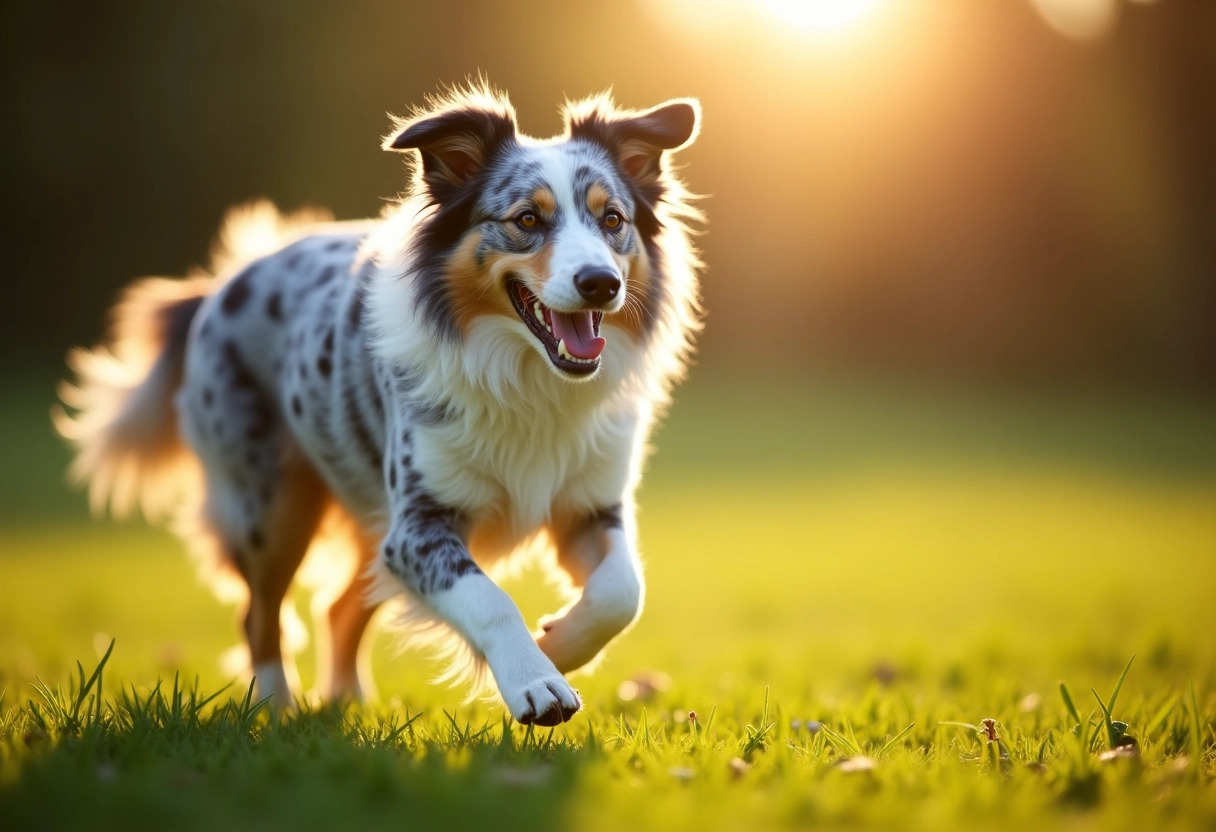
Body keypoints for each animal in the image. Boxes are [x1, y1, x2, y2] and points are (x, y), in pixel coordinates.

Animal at [57, 81, 705, 724]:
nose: (601, 283)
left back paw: (346, 701)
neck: (528, 381)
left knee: (339, 608)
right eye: (527, 218)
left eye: (612, 219)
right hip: (271, 504)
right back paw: (277, 709)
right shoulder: (416, 526)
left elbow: (624, 591)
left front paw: (559, 643)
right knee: (260, 616)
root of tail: (221, 284)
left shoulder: (590, 505)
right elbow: (489, 597)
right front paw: (536, 679)